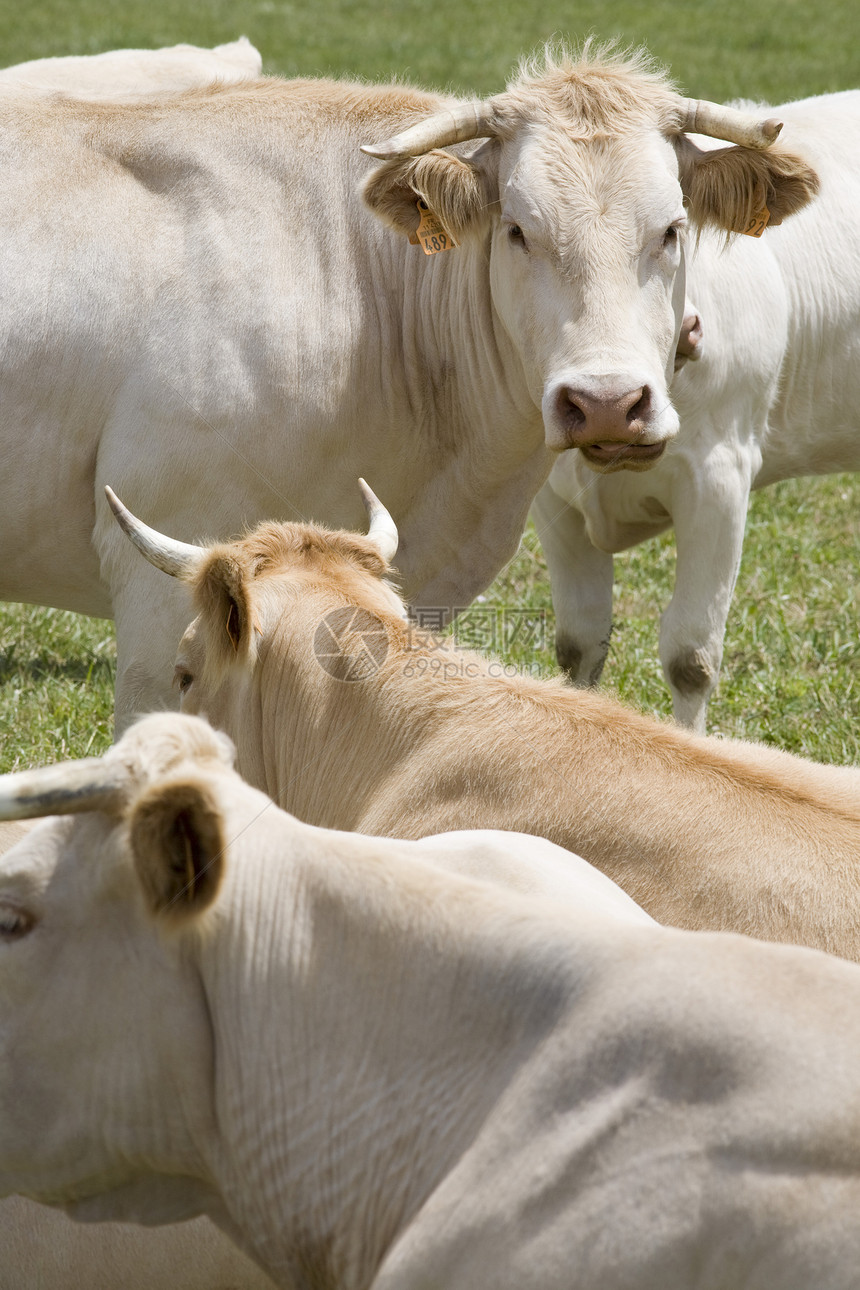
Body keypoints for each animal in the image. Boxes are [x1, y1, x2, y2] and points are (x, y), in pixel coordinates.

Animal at [538, 89, 860, 732]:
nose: (608, 402)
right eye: (518, 233)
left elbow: (690, 655)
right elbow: (578, 645)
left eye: (673, 228)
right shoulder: (550, 499)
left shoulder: (720, 476)